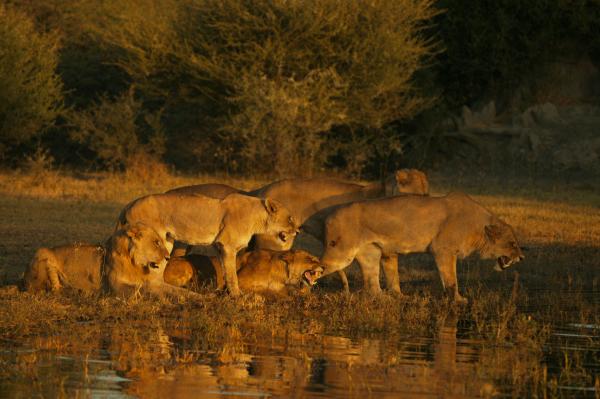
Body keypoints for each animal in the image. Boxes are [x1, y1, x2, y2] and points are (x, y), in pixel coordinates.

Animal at [115, 192, 298, 298]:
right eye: (289, 218)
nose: (297, 231)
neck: (258, 218)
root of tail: (128, 204)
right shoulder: (227, 245)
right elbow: (232, 274)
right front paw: (237, 296)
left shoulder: (220, 246)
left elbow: (223, 271)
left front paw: (222, 293)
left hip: (166, 242)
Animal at [322, 193, 524, 304]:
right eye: (512, 243)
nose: (522, 258)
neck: (477, 228)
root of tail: (329, 215)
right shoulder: (443, 250)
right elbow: (451, 279)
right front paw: (458, 300)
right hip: (341, 254)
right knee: (317, 266)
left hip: (371, 253)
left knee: (373, 285)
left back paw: (392, 298)